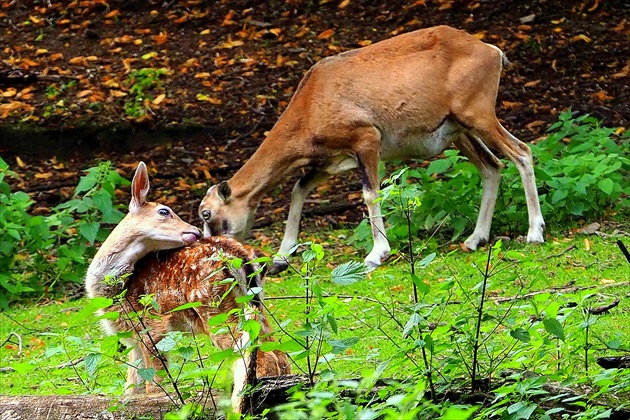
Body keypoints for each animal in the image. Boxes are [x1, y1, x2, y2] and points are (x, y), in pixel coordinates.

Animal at [86, 162, 292, 414]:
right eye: (164, 211)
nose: (196, 231)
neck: (117, 290)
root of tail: (241, 257)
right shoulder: (132, 338)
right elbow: (131, 386)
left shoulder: (152, 325)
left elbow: (155, 382)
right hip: (256, 305)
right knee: (279, 355)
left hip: (216, 308)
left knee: (258, 357)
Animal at [201, 26, 548, 274]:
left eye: (207, 214)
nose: (214, 256)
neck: (312, 100)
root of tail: (491, 52)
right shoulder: (330, 162)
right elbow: (298, 190)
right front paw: (281, 258)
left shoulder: (367, 141)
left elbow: (370, 195)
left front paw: (376, 254)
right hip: (460, 133)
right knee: (492, 166)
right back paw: (475, 240)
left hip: (479, 117)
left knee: (521, 152)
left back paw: (535, 233)